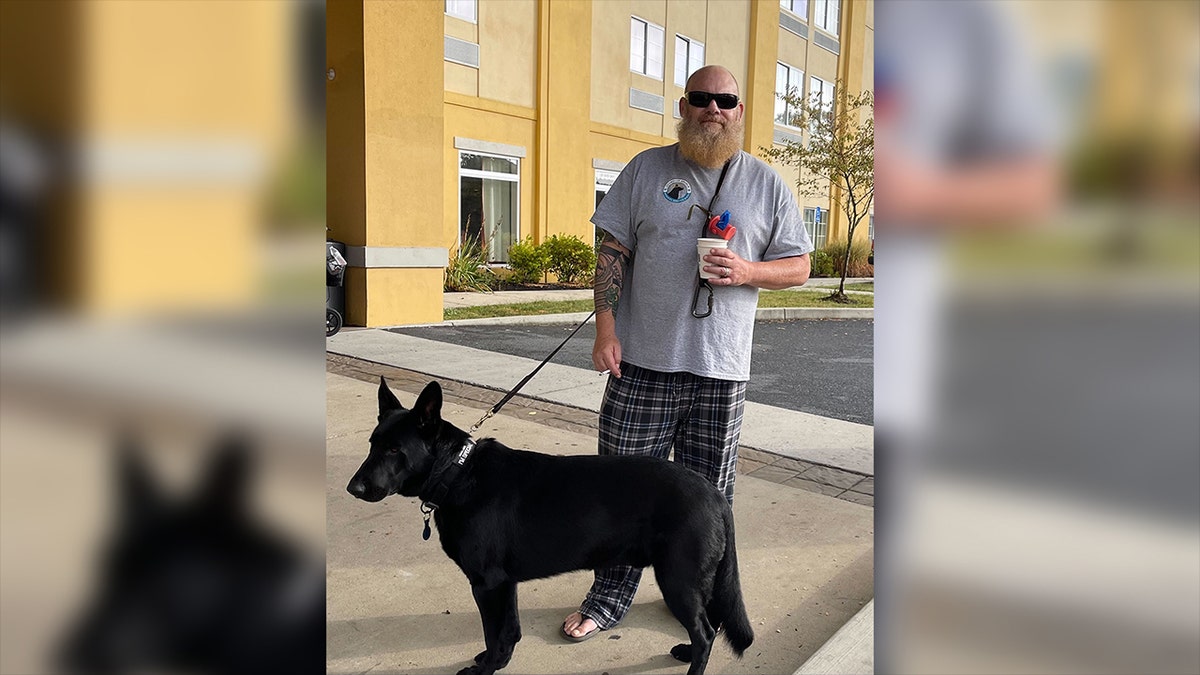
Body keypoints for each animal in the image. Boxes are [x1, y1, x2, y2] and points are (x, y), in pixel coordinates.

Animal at [345, 379, 748, 672]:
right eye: (372, 444)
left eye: (395, 450)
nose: (354, 489)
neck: (457, 472)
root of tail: (713, 492)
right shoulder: (504, 584)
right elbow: (509, 631)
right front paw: (498, 662)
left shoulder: (487, 584)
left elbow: (493, 633)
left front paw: (486, 669)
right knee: (707, 627)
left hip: (678, 579)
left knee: (705, 633)